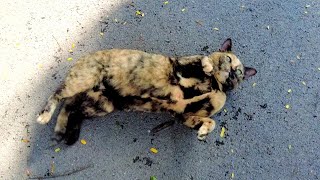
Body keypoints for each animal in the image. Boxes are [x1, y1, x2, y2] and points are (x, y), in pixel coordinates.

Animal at [37, 38, 256, 145]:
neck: (214, 85)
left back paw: (67, 135)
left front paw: (202, 132)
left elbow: (210, 121)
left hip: (102, 105)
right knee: (58, 95)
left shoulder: (183, 116)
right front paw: (209, 66)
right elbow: (203, 60)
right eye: (228, 59)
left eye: (239, 73)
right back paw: (45, 117)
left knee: (71, 109)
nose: (232, 74)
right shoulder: (182, 67)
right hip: (83, 81)